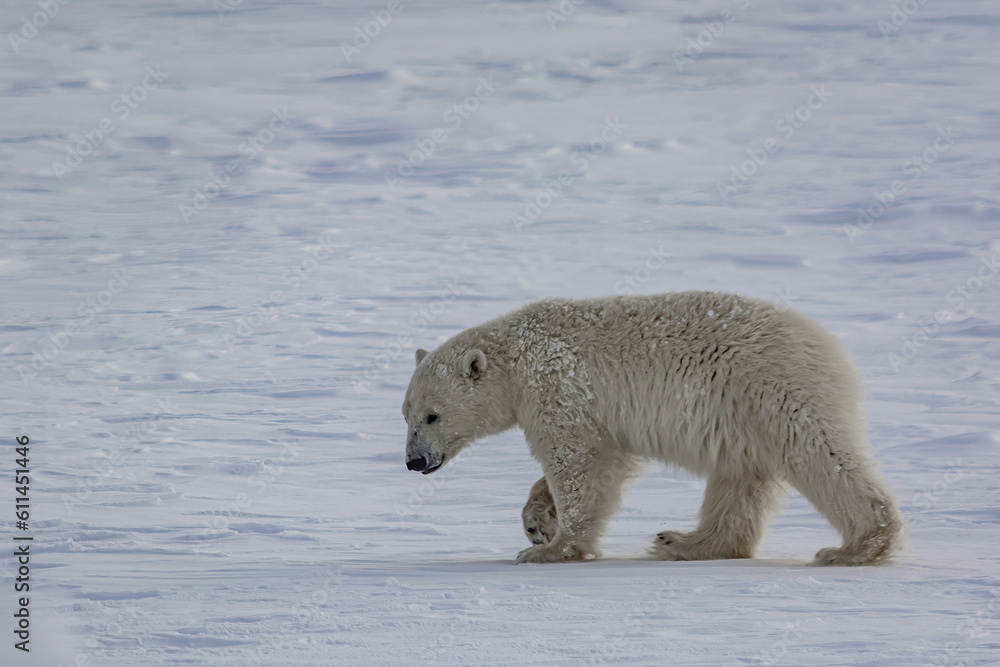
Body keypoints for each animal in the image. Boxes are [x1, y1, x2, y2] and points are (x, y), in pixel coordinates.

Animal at [402, 291, 903, 566]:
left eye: (432, 415)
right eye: (405, 413)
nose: (413, 460)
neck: (518, 352)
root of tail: (827, 344)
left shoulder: (556, 384)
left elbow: (578, 462)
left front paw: (549, 549)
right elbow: (601, 458)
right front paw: (537, 522)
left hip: (774, 390)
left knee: (818, 455)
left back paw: (854, 547)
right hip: (743, 412)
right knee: (739, 478)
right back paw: (683, 541)